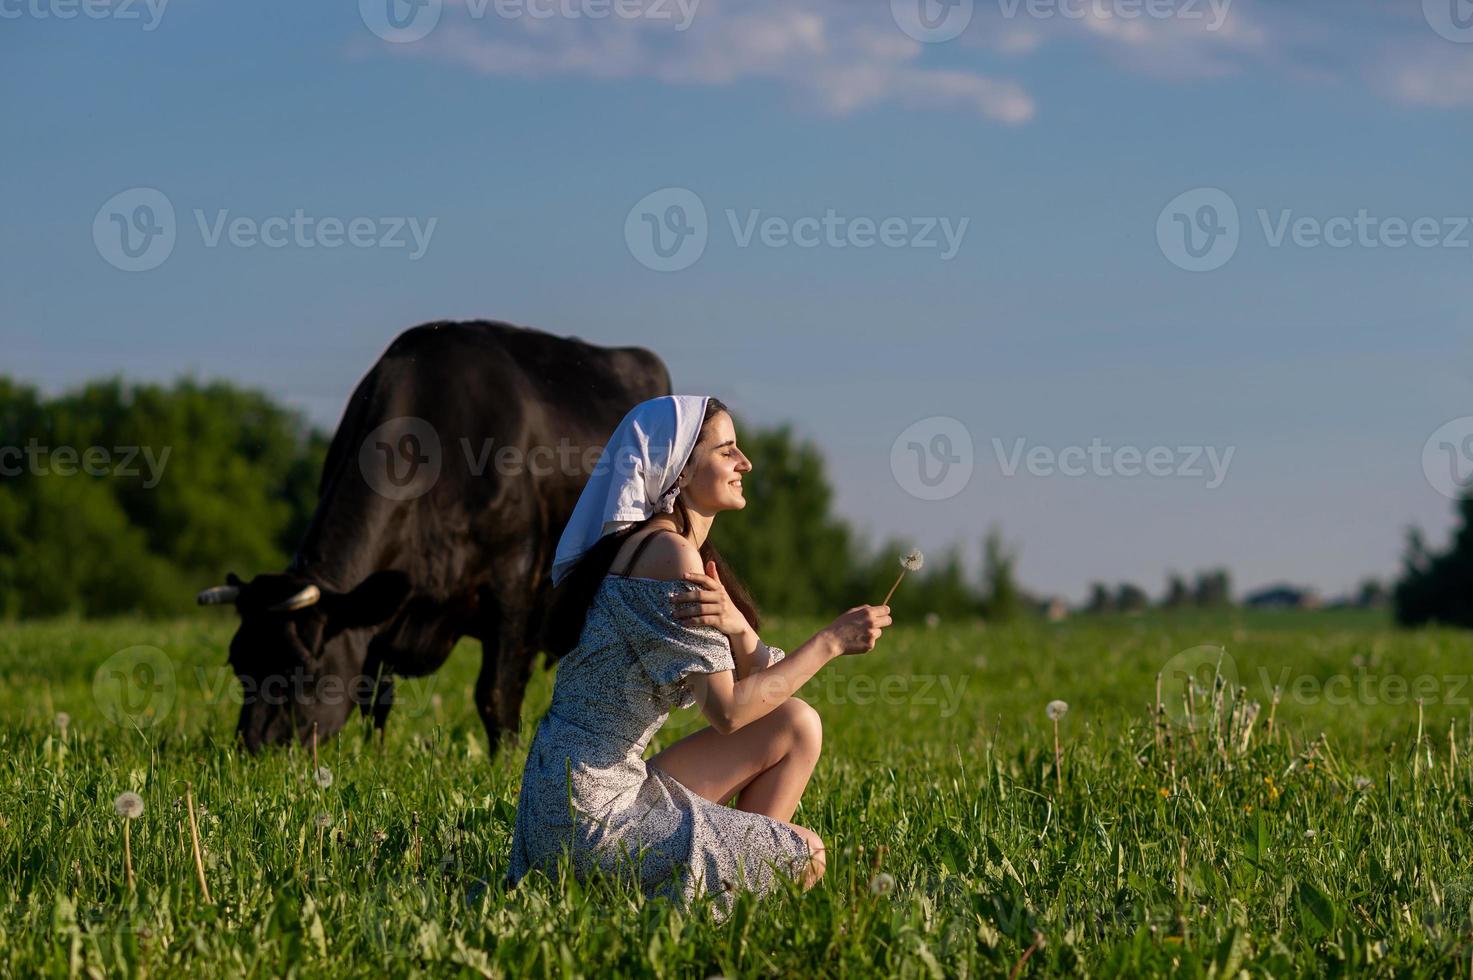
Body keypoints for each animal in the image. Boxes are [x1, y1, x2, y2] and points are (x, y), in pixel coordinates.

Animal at [198, 316, 671, 751]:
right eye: (238, 661)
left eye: (304, 667)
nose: (254, 750)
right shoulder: (382, 616)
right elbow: (376, 697)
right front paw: (373, 755)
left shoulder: (514, 583)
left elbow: (495, 694)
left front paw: (505, 761)